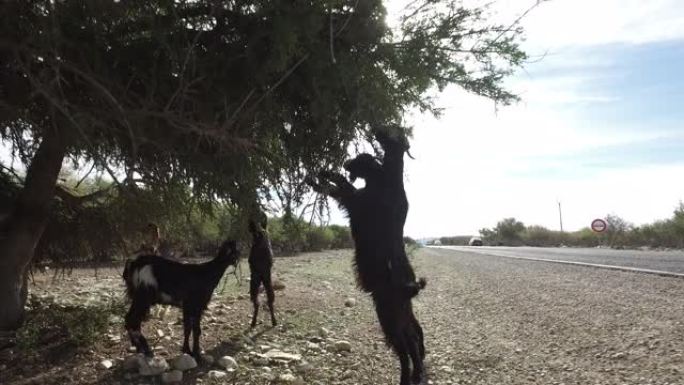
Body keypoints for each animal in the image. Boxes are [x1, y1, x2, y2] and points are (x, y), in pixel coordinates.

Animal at [310, 128, 428, 384]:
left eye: (358, 158)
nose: (345, 162)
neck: (383, 181)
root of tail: (410, 286)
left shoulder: (355, 201)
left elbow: (341, 186)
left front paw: (318, 178)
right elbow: (342, 184)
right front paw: (323, 173)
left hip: (388, 318)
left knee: (406, 350)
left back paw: (408, 377)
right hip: (403, 315)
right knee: (415, 340)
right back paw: (416, 374)